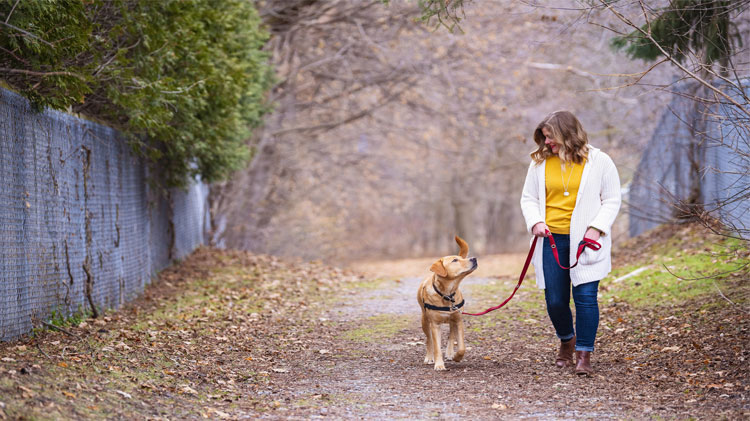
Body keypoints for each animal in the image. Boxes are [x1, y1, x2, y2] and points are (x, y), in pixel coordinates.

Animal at [418, 235, 482, 370]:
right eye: (455, 260)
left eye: (462, 258)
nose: (474, 258)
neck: (447, 294)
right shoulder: (435, 324)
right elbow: (436, 346)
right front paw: (439, 364)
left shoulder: (458, 320)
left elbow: (462, 346)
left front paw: (457, 357)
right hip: (424, 320)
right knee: (428, 339)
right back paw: (429, 357)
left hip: (453, 319)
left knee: (451, 335)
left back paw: (450, 352)